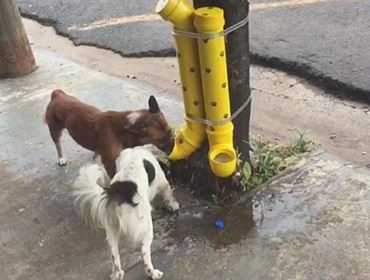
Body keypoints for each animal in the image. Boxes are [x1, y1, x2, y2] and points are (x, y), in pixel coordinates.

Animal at [44, 89, 173, 177]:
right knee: (57, 144)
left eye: (170, 131)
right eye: (160, 140)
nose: (173, 151)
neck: (121, 129)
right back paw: (61, 158)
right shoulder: (108, 162)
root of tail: (57, 95)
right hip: (54, 130)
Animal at [72, 145, 179, 278]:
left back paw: (117, 274)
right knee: (144, 252)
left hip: (111, 229)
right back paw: (153, 273)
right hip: (146, 227)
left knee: (114, 254)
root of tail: (117, 192)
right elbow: (168, 193)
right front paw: (173, 205)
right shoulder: (162, 181)